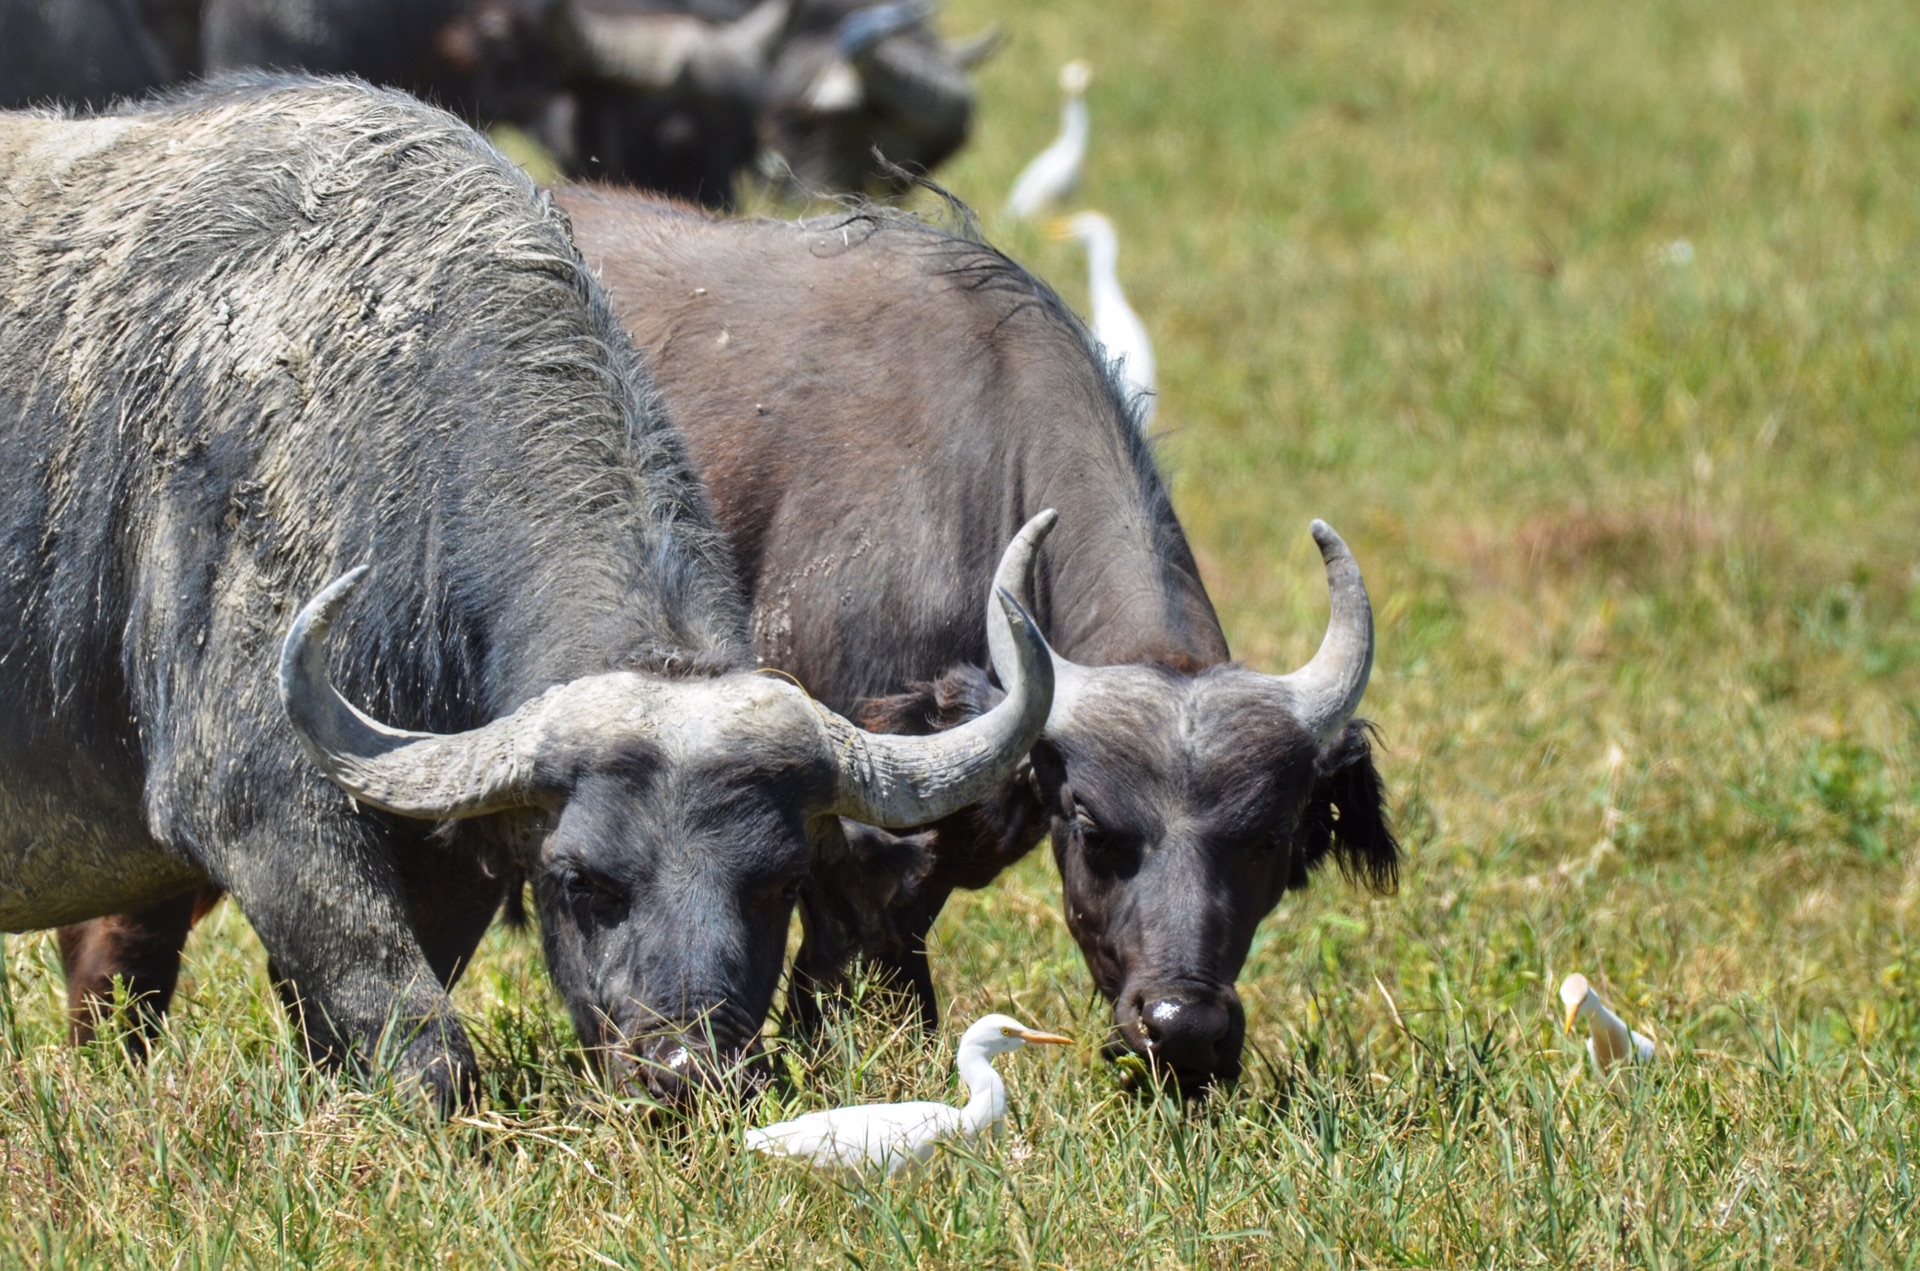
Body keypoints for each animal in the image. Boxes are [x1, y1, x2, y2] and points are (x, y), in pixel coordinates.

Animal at [3, 77, 1052, 1105]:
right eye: (581, 879)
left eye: (780, 881)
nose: (685, 1071)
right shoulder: (256, 803)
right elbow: (419, 1040)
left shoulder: (449, 851)